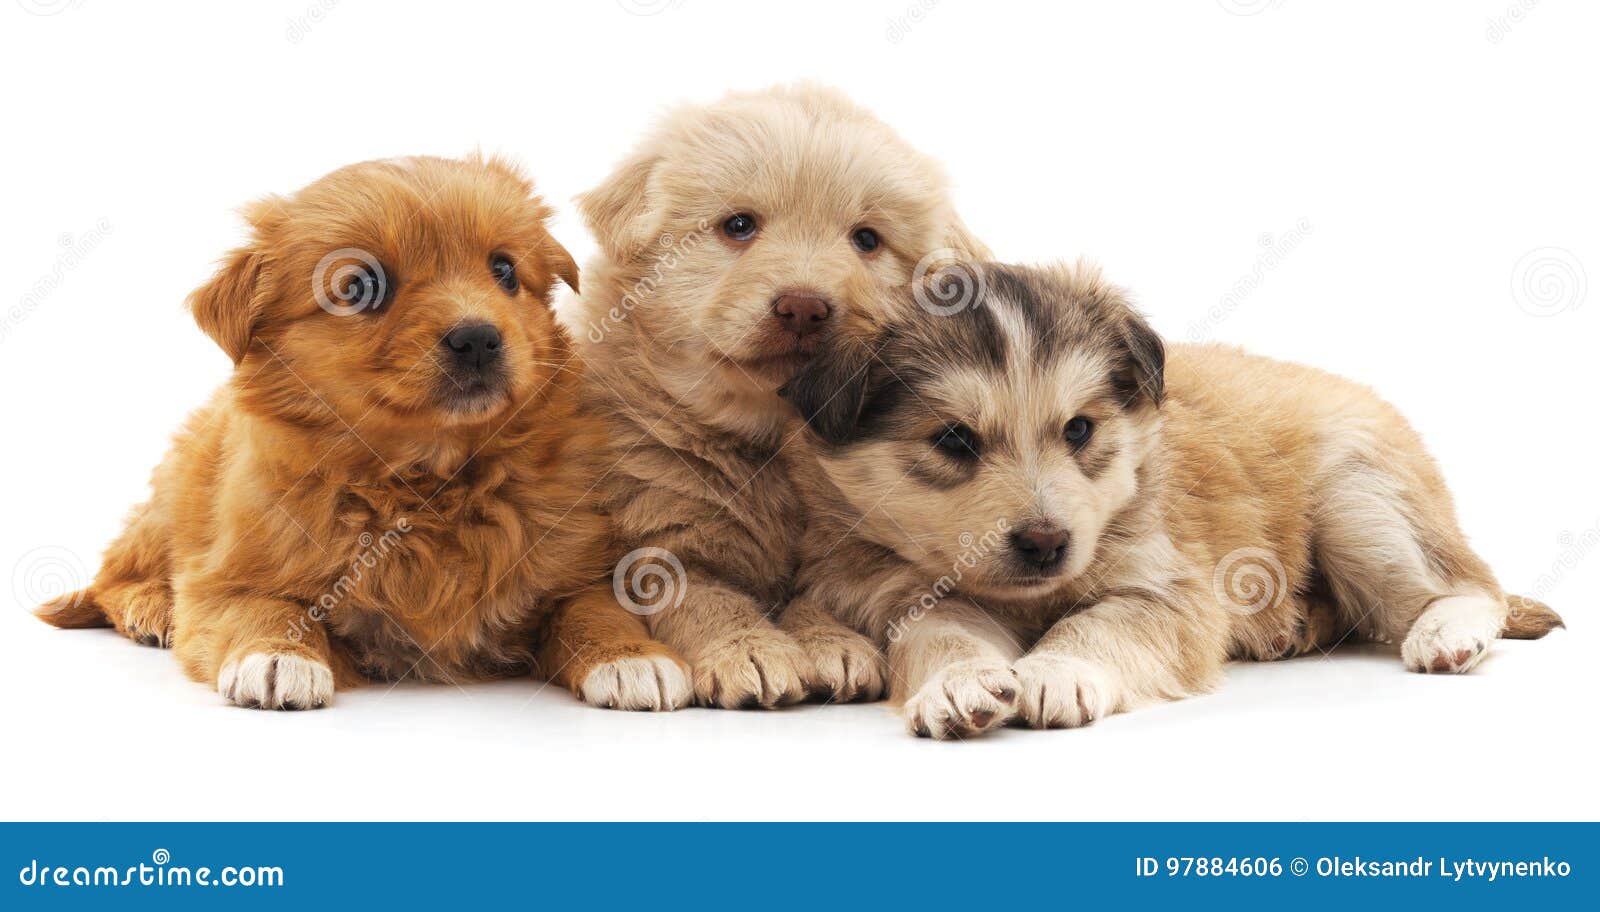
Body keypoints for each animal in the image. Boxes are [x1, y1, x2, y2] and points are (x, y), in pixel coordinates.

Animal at [36, 155, 691, 711]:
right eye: (361, 287)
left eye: (504, 271)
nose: (479, 337)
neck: (425, 482)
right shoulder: (229, 572)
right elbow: (263, 609)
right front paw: (276, 658)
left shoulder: (573, 568)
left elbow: (594, 610)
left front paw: (633, 658)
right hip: (172, 499)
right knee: (113, 575)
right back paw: (152, 609)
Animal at [573, 84, 988, 708]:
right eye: (739, 225)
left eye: (866, 239)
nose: (804, 307)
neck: (772, 438)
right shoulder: (660, 536)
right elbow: (708, 599)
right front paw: (751, 650)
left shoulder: (842, 552)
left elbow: (814, 599)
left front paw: (832, 645)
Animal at [781, 260, 1565, 738]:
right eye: (953, 440)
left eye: (1079, 429)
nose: (1045, 543)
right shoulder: (901, 594)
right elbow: (941, 634)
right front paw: (960, 682)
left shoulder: (1168, 589)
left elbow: (1099, 625)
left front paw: (1056, 671)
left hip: (1362, 504)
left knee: (1471, 585)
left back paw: (1445, 634)